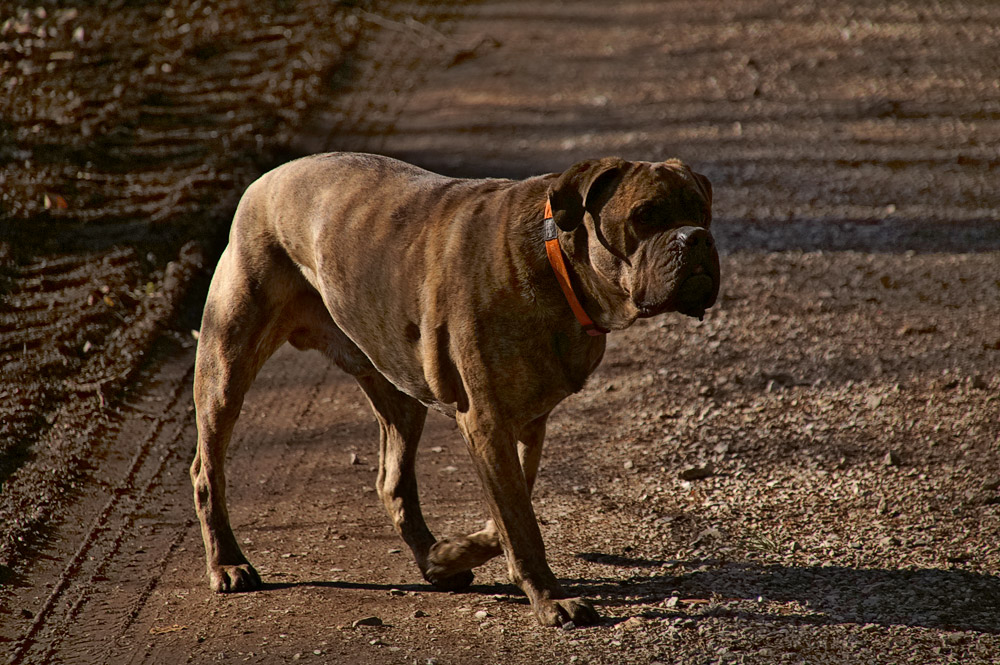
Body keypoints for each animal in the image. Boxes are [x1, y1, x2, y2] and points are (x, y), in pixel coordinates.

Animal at [189, 153, 720, 624]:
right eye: (644, 215)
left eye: (701, 211)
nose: (696, 239)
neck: (557, 267)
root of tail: (265, 180)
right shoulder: (486, 421)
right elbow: (519, 522)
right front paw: (550, 599)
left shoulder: (527, 423)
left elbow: (512, 508)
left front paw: (454, 553)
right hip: (225, 364)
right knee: (206, 469)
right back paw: (228, 564)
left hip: (398, 392)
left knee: (393, 480)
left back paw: (434, 560)